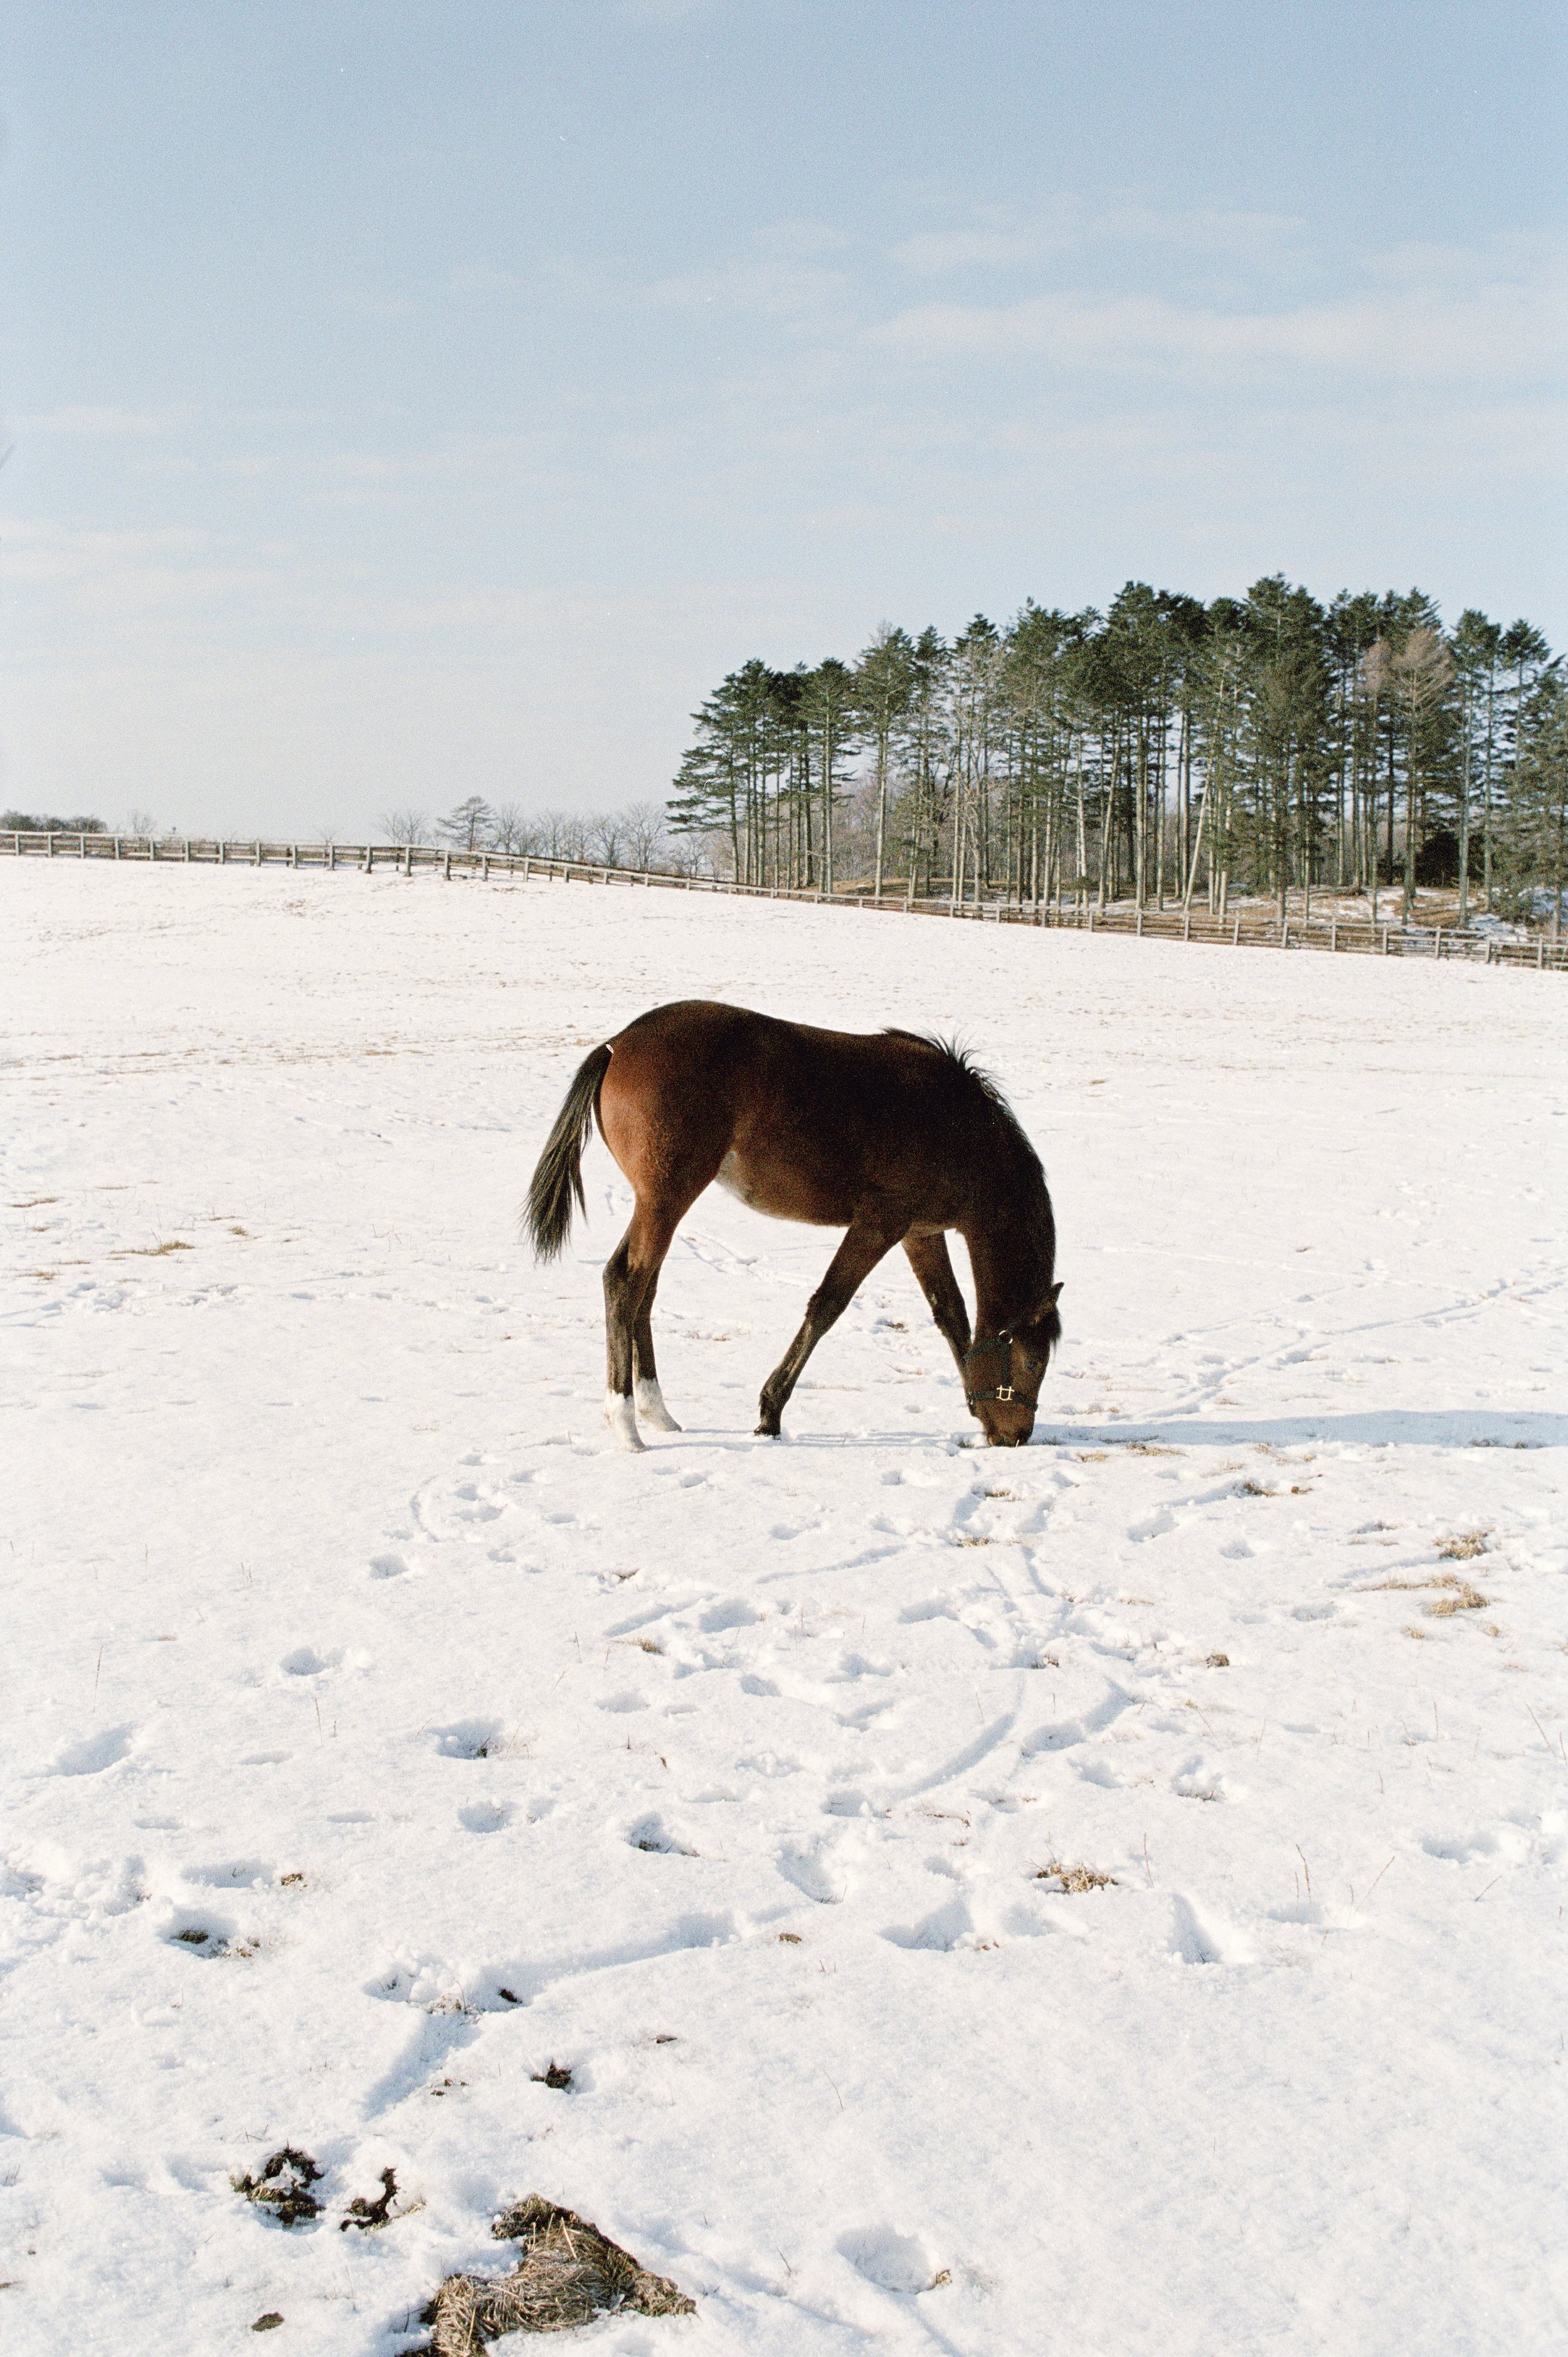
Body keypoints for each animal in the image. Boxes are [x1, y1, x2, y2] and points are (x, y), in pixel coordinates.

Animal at [525, 1000, 1063, 1451]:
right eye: (1034, 1361)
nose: (1016, 1436)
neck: (958, 1129)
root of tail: (618, 1044)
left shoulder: (920, 1234)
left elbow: (951, 1317)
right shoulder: (880, 1225)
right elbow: (827, 1307)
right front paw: (770, 1413)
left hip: (661, 1205)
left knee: (643, 1289)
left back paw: (657, 1412)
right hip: (665, 1200)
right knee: (624, 1281)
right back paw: (626, 1425)